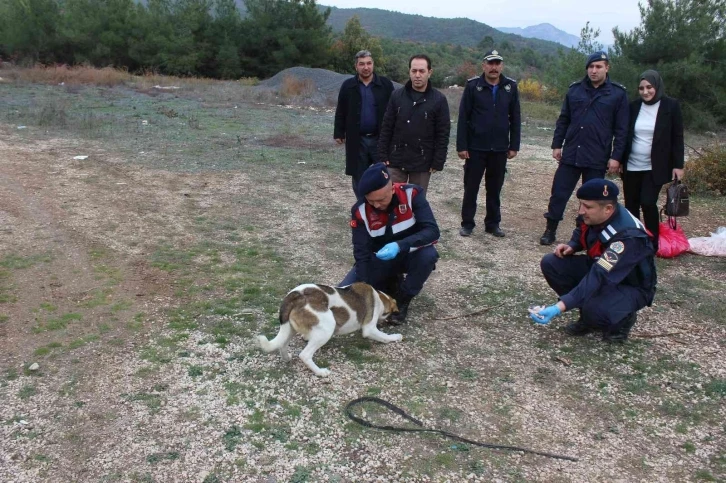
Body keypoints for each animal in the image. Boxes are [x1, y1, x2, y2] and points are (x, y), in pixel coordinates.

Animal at [258, 284, 404, 378]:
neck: (380, 298)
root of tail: (295, 295)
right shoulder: (370, 329)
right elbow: (384, 336)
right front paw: (395, 337)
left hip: (290, 328)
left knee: (282, 344)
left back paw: (287, 358)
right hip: (327, 328)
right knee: (304, 355)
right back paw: (320, 372)